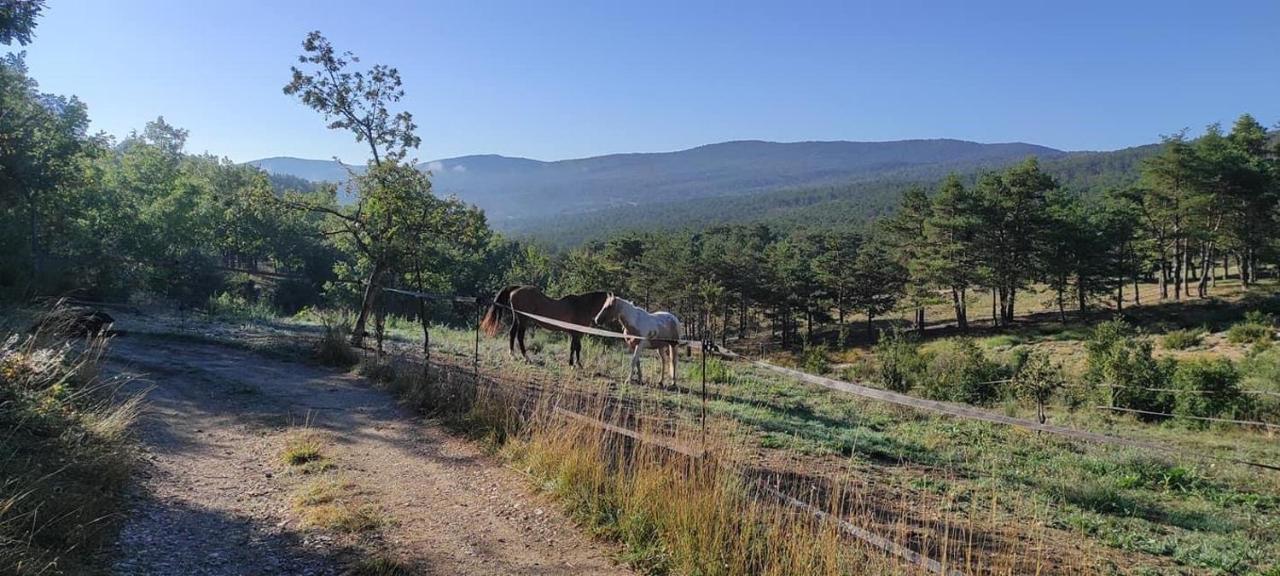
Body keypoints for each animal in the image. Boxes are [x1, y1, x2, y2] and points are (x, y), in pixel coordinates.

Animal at [481, 285, 609, 366]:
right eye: (608, 305)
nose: (598, 321)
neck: (582, 306)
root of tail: (516, 289)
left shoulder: (576, 333)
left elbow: (576, 347)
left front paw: (576, 363)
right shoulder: (576, 333)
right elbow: (575, 347)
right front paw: (574, 364)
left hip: (517, 319)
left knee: (512, 333)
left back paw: (513, 355)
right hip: (523, 319)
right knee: (520, 336)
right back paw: (526, 358)